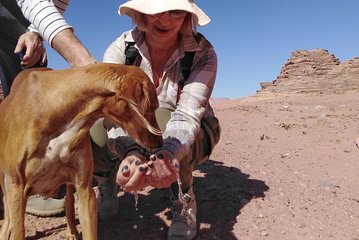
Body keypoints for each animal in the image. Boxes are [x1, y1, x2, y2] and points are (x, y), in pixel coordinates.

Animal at [0, 63, 163, 240]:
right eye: (152, 107)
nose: (160, 142)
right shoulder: (16, 187)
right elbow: (17, 228)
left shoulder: (85, 191)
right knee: (8, 215)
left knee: (69, 203)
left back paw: (71, 231)